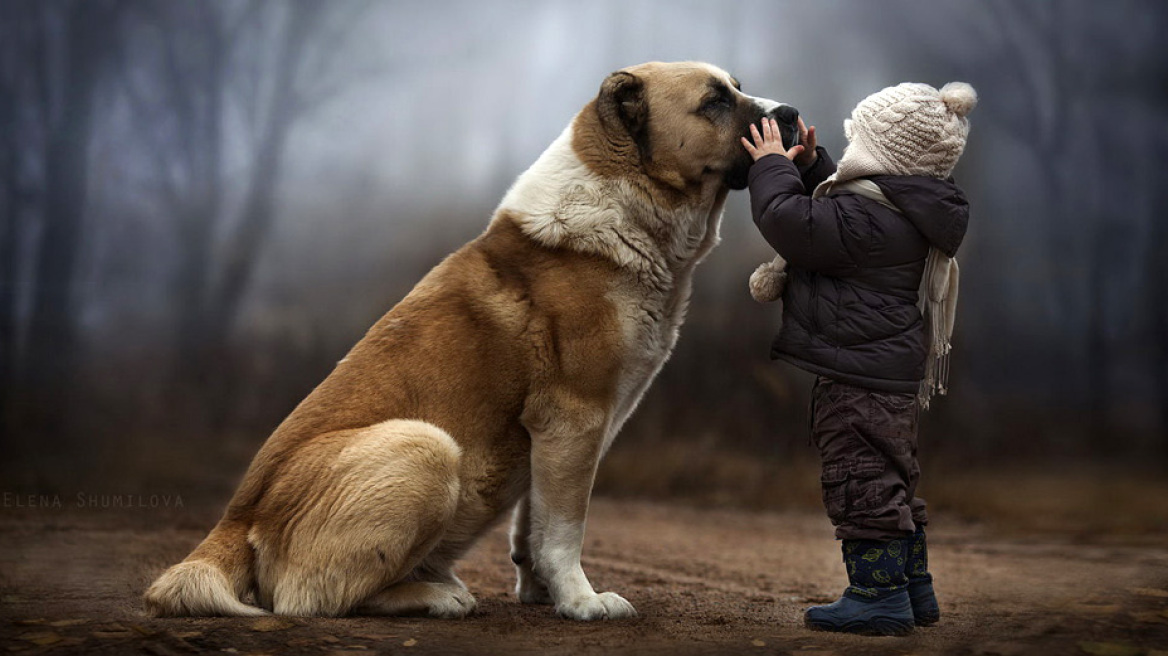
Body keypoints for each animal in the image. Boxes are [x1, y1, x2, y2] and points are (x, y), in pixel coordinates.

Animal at [146, 60, 798, 616]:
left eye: (737, 88)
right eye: (715, 101)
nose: (790, 114)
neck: (626, 204)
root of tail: (233, 522)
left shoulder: (557, 437)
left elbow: (534, 523)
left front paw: (542, 593)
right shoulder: (575, 418)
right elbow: (565, 528)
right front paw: (582, 602)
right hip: (427, 447)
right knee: (312, 598)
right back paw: (437, 595)